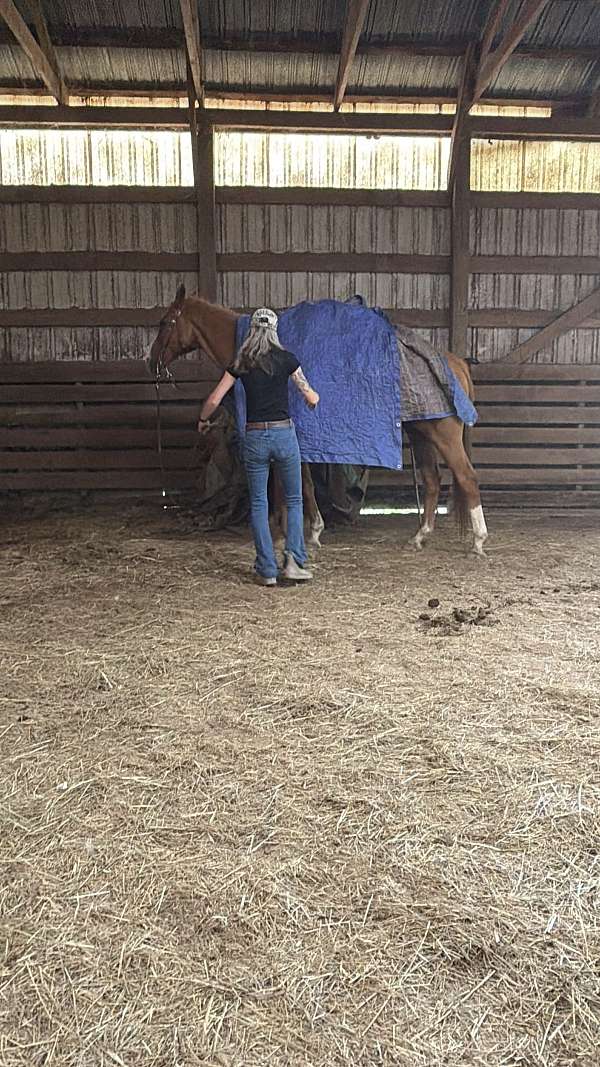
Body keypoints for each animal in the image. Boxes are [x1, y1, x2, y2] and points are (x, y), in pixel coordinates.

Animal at [148, 286, 488, 556]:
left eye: (164, 322)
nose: (151, 362)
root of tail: (455, 362)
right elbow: (304, 484)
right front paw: (308, 530)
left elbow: (290, 485)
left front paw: (292, 532)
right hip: (421, 432)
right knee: (432, 480)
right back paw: (420, 536)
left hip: (443, 435)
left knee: (467, 477)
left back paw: (478, 541)